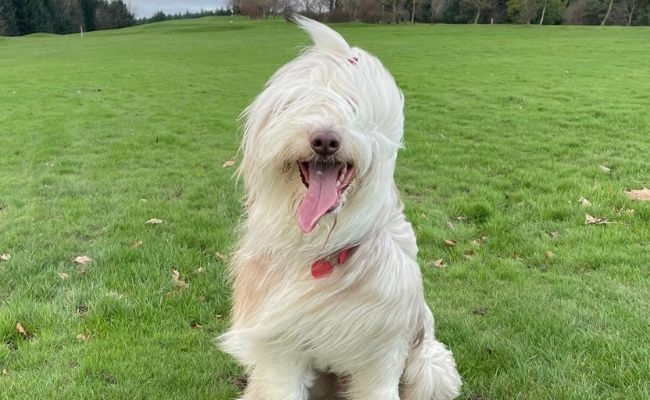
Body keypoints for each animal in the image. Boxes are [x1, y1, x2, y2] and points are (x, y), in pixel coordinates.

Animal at [219, 16, 460, 400]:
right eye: (298, 104)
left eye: (356, 109)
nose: (325, 140)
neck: (321, 245)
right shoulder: (282, 348)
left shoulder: (380, 353)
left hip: (429, 365)